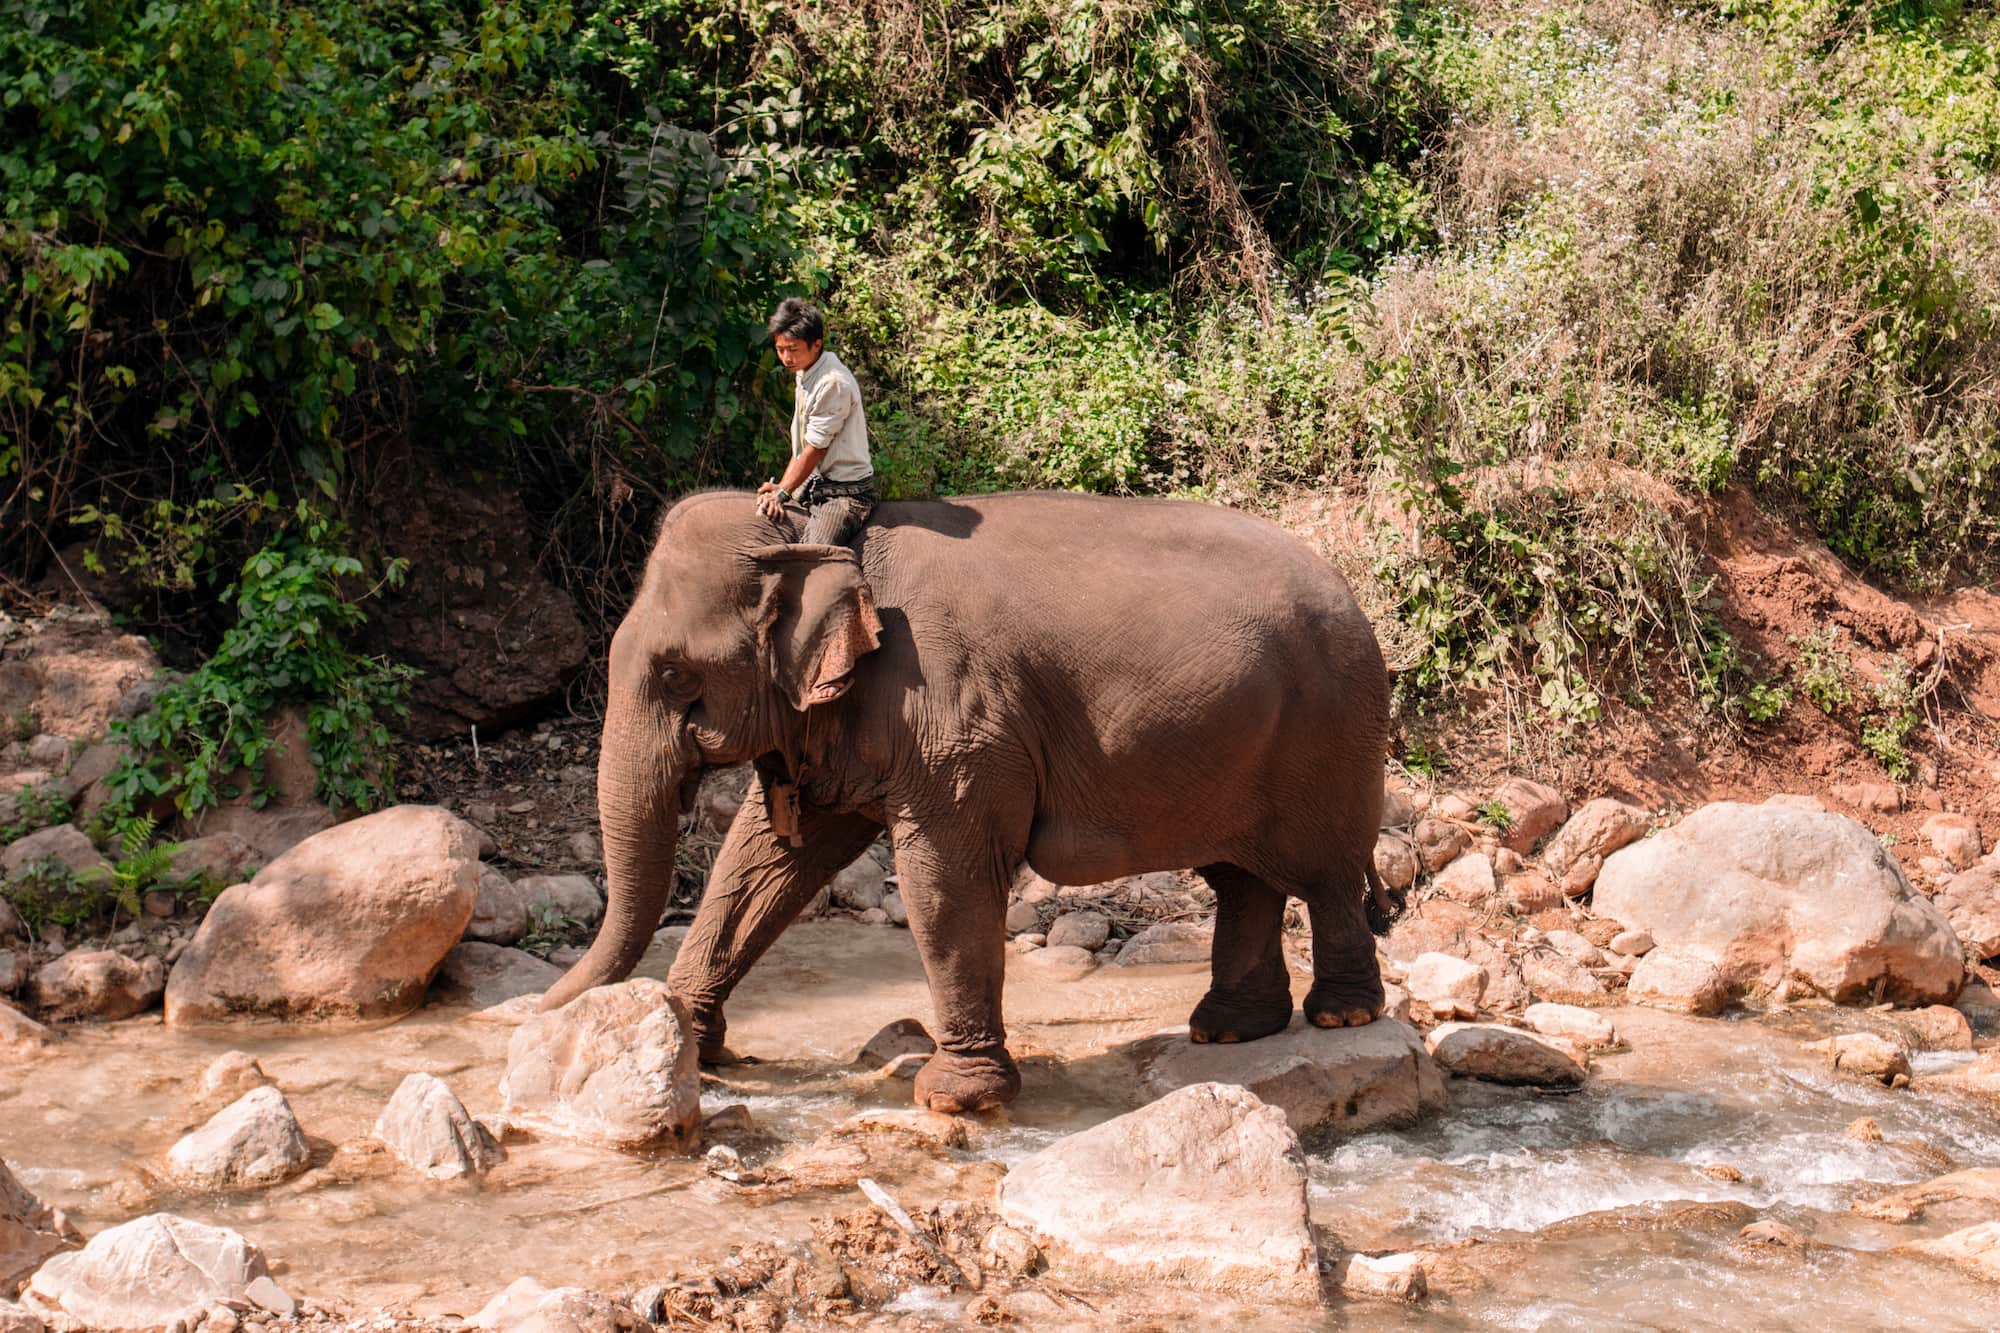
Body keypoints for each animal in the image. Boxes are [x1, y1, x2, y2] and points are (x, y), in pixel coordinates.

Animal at [540, 488, 1400, 1112]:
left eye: (677, 674)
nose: (538, 1012)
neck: (822, 540)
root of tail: (1354, 594)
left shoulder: (951, 715)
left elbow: (945, 875)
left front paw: (955, 1099)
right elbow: (765, 859)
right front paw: (692, 1039)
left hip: (1332, 729)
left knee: (1324, 876)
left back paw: (1338, 1016)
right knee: (1243, 881)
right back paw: (1228, 1032)